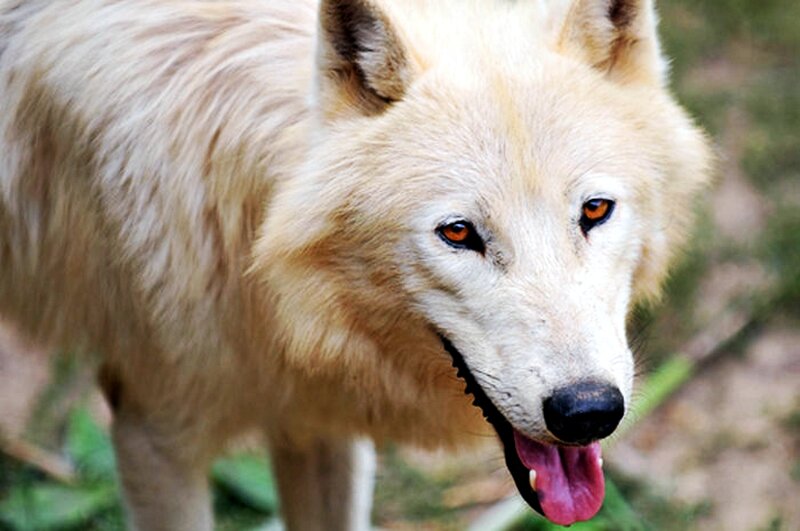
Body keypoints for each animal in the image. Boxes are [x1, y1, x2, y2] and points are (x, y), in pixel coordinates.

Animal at [0, 0, 711, 528]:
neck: (276, 295)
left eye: (594, 210)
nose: (587, 410)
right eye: (458, 232)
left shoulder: (318, 422)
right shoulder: (151, 431)